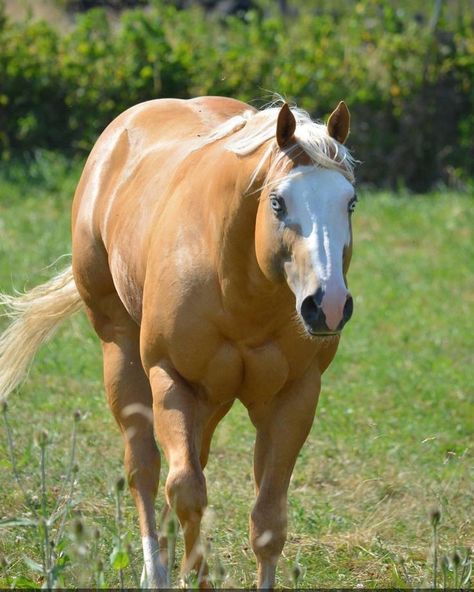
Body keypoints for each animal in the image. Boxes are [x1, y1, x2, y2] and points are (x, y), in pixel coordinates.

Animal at [0, 97, 356, 588]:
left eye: (350, 202)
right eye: (278, 202)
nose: (329, 304)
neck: (237, 286)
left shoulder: (295, 395)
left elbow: (267, 520)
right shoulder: (170, 378)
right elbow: (185, 490)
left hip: (211, 399)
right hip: (124, 358)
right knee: (147, 471)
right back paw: (157, 571)